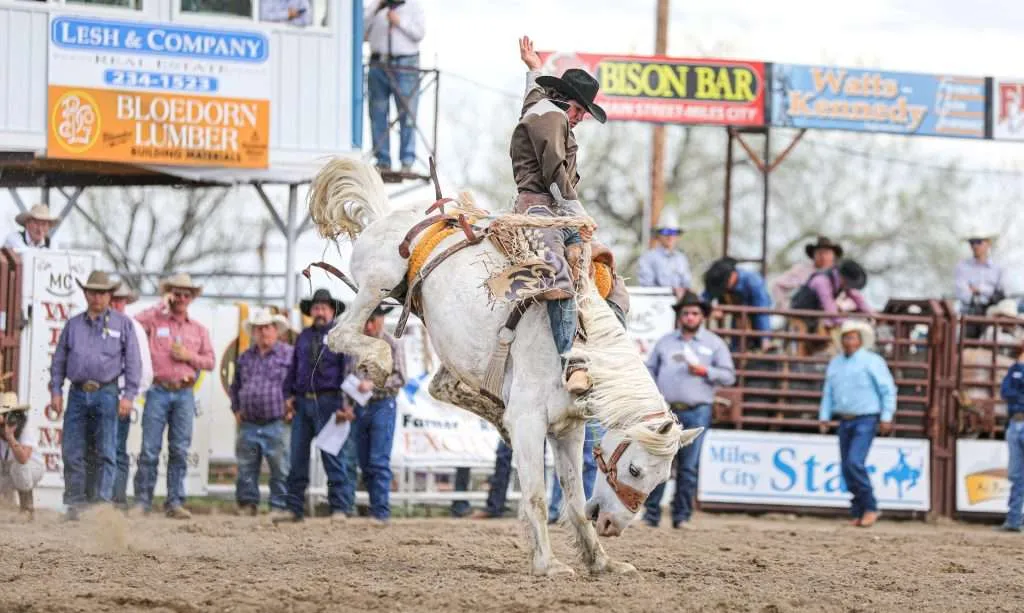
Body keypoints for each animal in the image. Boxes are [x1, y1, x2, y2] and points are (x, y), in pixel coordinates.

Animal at [307, 157, 703, 577]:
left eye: (661, 479)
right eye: (635, 470)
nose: (612, 525)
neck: (576, 351)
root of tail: (389, 215)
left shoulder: (569, 430)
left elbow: (575, 500)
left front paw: (602, 562)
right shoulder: (530, 421)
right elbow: (537, 495)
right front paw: (548, 564)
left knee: (442, 386)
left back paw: (496, 417)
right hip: (377, 284)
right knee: (341, 334)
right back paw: (379, 361)